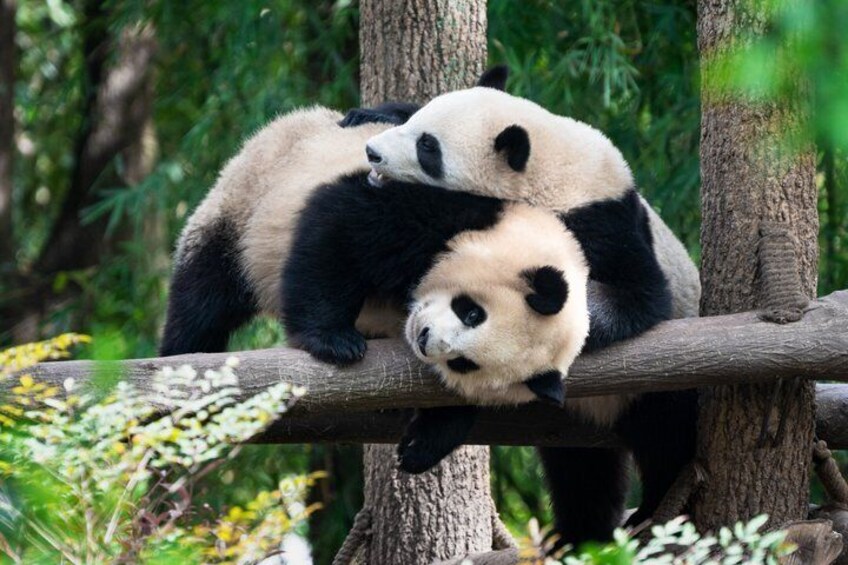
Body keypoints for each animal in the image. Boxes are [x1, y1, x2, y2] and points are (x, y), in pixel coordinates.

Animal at [361, 66, 700, 546]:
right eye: (417, 121)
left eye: (428, 147)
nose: (372, 151)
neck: (551, 167)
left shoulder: (604, 223)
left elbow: (636, 296)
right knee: (580, 472)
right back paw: (579, 534)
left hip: (658, 388)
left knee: (667, 440)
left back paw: (656, 513)